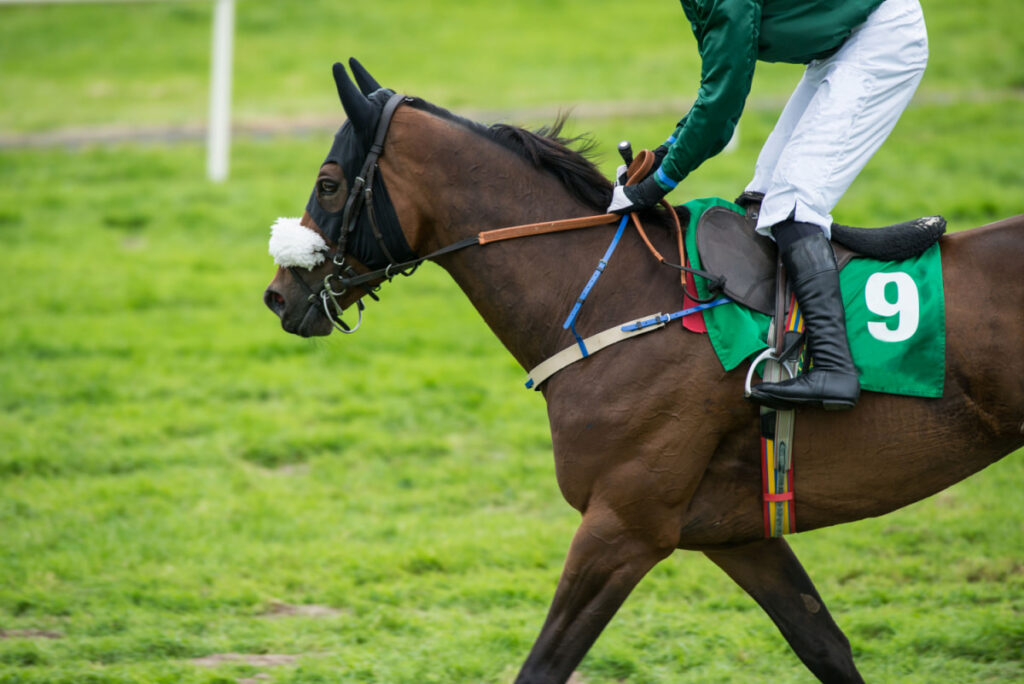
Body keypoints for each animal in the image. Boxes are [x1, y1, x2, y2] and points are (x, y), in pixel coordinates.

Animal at [266, 60, 1024, 684]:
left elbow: (544, 665)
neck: (620, 298)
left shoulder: (623, 526)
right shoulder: (740, 533)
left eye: (328, 183)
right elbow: (825, 645)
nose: (278, 295)